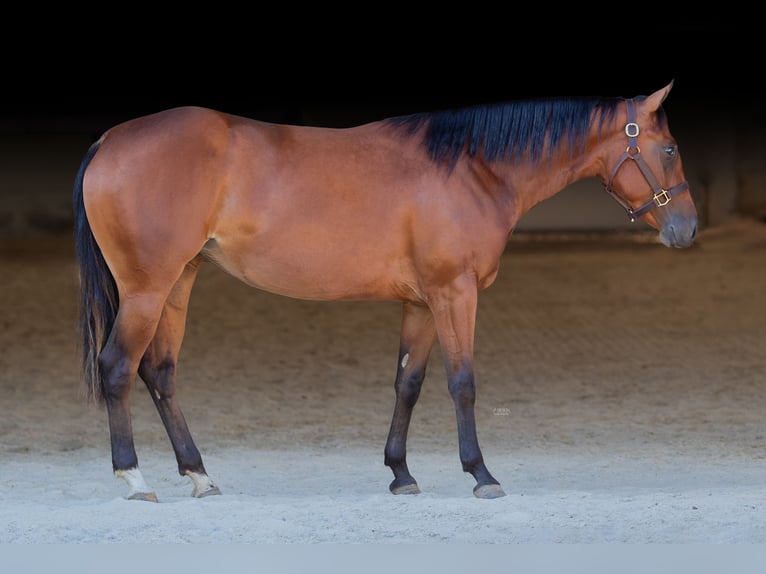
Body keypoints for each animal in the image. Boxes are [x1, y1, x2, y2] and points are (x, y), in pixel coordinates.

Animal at [73, 82, 697, 502]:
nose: (687, 230)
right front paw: (481, 474)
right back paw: (134, 478)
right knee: (118, 368)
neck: (472, 168)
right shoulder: (455, 294)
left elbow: (408, 384)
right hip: (146, 290)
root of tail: (110, 140)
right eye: (668, 150)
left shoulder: (421, 302)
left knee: (160, 373)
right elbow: (463, 383)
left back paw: (199, 475)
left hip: (178, 283)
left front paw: (401, 473)